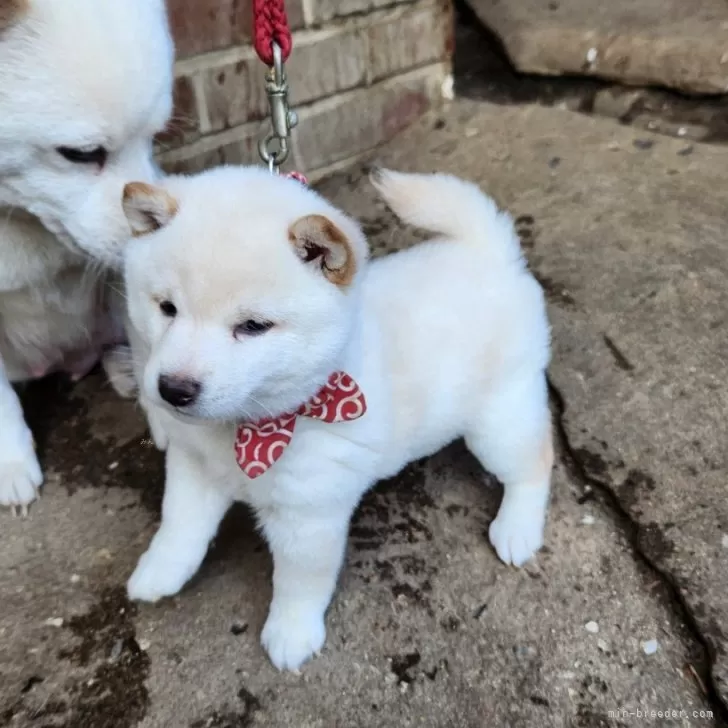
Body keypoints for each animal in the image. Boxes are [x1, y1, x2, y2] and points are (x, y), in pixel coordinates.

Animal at [121, 165, 552, 672]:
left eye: (253, 326)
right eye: (166, 308)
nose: (174, 389)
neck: (246, 429)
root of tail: (490, 252)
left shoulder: (309, 516)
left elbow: (300, 582)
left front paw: (291, 634)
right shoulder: (193, 465)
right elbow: (179, 525)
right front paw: (159, 571)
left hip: (498, 421)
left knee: (533, 463)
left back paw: (518, 528)